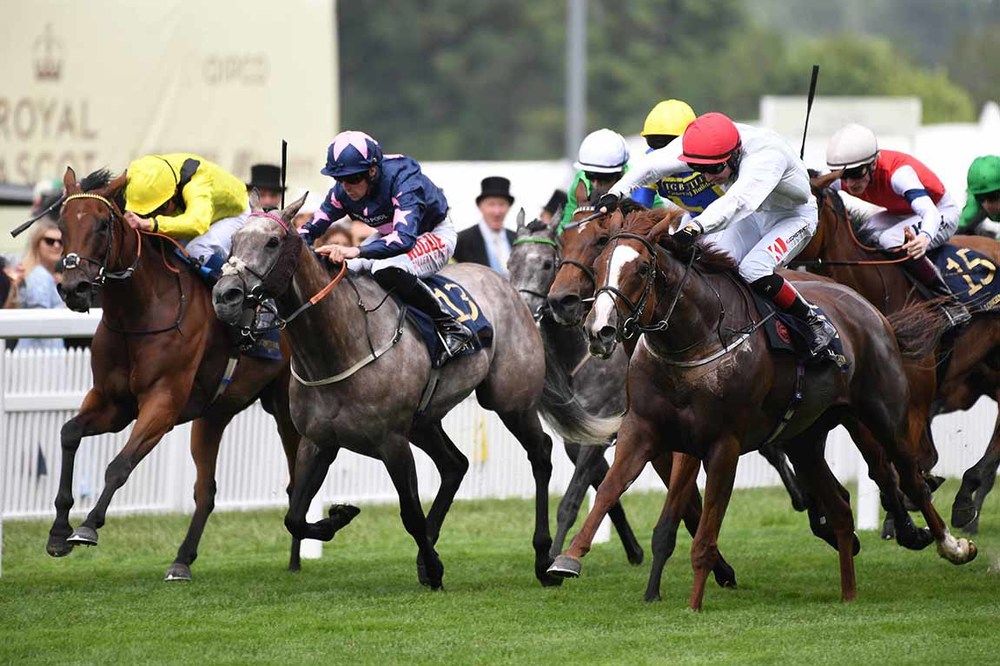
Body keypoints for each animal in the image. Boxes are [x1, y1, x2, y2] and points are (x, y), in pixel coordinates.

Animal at [50, 167, 300, 580]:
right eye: (61, 225)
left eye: (102, 225)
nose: (74, 288)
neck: (138, 313)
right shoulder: (112, 403)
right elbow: (69, 434)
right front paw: (57, 532)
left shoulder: (163, 402)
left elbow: (119, 465)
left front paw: (87, 527)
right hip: (214, 415)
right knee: (206, 491)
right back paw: (182, 560)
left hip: (286, 408)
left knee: (297, 478)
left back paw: (297, 555)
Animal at [211, 193, 616, 588]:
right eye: (233, 241)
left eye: (272, 241)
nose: (225, 295)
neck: (340, 345)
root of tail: (509, 288)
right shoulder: (318, 441)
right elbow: (294, 517)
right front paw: (340, 516)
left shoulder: (391, 441)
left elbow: (409, 514)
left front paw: (435, 568)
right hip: (424, 421)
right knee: (455, 464)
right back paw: (429, 554)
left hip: (510, 401)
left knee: (541, 454)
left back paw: (542, 558)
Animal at [548, 208, 976, 608]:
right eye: (601, 263)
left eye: (640, 268)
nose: (599, 330)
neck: (694, 340)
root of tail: (869, 308)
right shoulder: (644, 431)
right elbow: (609, 490)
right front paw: (567, 559)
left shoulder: (723, 445)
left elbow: (704, 534)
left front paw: (694, 606)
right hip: (804, 438)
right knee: (840, 506)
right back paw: (848, 591)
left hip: (882, 413)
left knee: (909, 476)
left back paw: (951, 545)